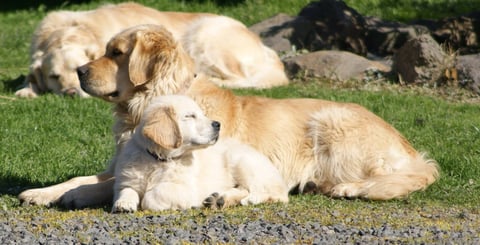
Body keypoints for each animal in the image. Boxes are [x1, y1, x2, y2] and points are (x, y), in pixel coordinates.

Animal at [112, 94, 288, 212]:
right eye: (190, 116)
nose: (218, 124)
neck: (159, 160)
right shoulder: (127, 179)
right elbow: (127, 190)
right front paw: (124, 204)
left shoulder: (186, 190)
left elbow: (154, 195)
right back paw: (220, 199)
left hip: (243, 162)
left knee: (274, 194)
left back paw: (250, 199)